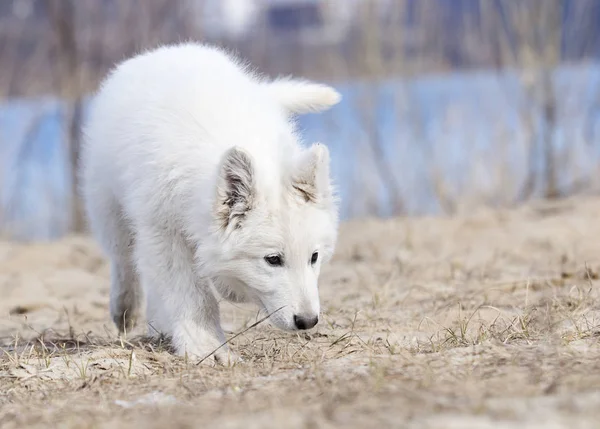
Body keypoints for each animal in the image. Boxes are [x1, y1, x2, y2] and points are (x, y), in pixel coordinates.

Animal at [79, 42, 340, 362]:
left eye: (314, 257)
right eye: (273, 260)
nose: (308, 322)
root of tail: (161, 52)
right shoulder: (163, 233)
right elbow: (191, 295)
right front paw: (205, 346)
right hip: (108, 207)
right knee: (124, 260)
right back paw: (126, 309)